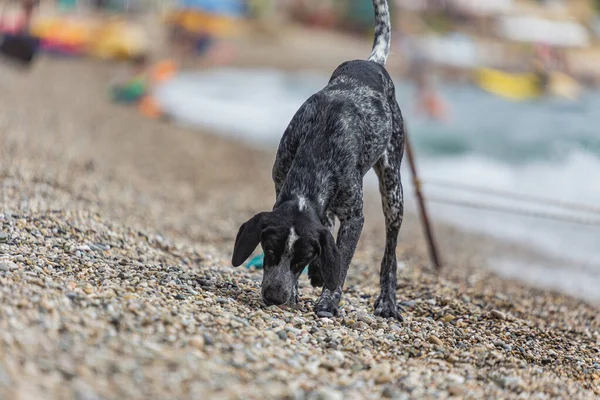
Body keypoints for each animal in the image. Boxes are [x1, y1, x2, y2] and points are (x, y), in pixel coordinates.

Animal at [232, 0, 406, 320]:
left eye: (300, 258)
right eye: (270, 251)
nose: (274, 297)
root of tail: (373, 61)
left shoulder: (354, 217)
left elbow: (343, 262)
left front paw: (327, 301)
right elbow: (326, 243)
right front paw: (299, 289)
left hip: (393, 191)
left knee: (390, 253)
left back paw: (387, 301)